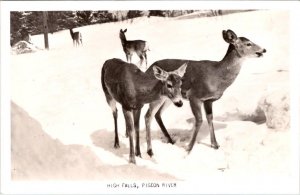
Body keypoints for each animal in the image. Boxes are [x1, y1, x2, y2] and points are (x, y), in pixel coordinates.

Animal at [142, 29, 266, 157]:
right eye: (248, 44)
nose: (263, 50)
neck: (217, 76)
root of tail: (147, 69)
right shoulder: (194, 96)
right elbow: (199, 120)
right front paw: (188, 149)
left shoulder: (208, 100)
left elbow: (210, 118)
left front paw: (215, 145)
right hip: (158, 96)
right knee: (148, 115)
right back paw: (150, 150)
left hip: (169, 98)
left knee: (157, 114)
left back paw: (170, 140)